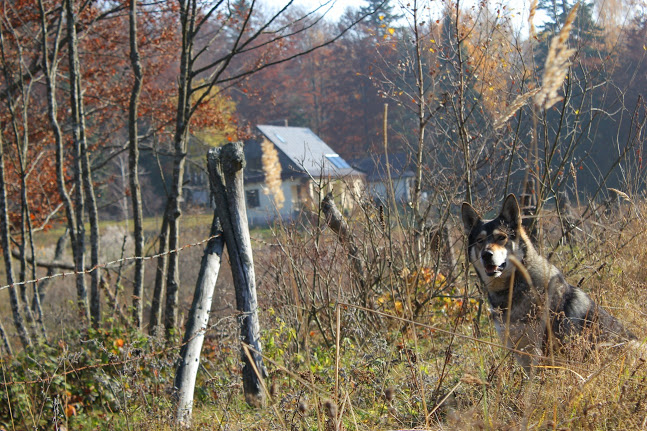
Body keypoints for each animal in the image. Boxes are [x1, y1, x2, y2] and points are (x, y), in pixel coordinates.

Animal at [460, 195, 636, 372]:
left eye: (501, 237)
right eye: (480, 240)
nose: (486, 254)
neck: (513, 289)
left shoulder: (541, 350)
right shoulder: (521, 352)